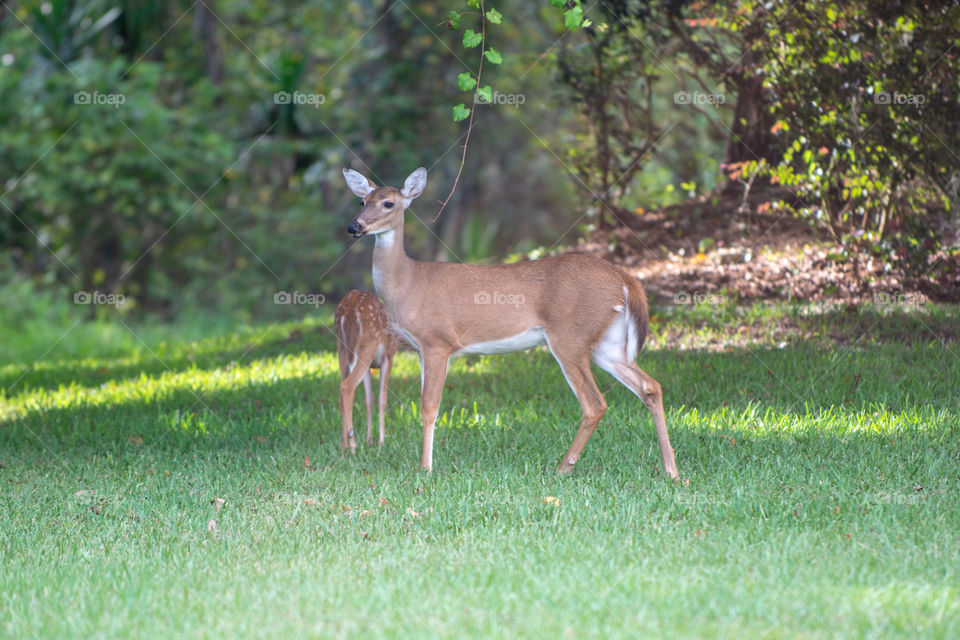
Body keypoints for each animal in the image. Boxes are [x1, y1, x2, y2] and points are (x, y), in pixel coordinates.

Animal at [335, 290, 402, 453]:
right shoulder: (388, 356)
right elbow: (382, 399)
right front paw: (381, 441)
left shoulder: (369, 366)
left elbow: (369, 399)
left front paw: (369, 440)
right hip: (368, 344)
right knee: (347, 387)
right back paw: (352, 447)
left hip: (342, 348)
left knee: (341, 390)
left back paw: (344, 446)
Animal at [342, 166, 678, 479]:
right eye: (362, 201)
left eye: (388, 203)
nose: (354, 226)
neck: (407, 283)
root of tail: (624, 279)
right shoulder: (422, 349)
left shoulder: (437, 341)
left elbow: (428, 407)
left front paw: (425, 468)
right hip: (606, 343)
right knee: (650, 386)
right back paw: (672, 471)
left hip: (569, 336)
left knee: (595, 403)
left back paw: (562, 468)